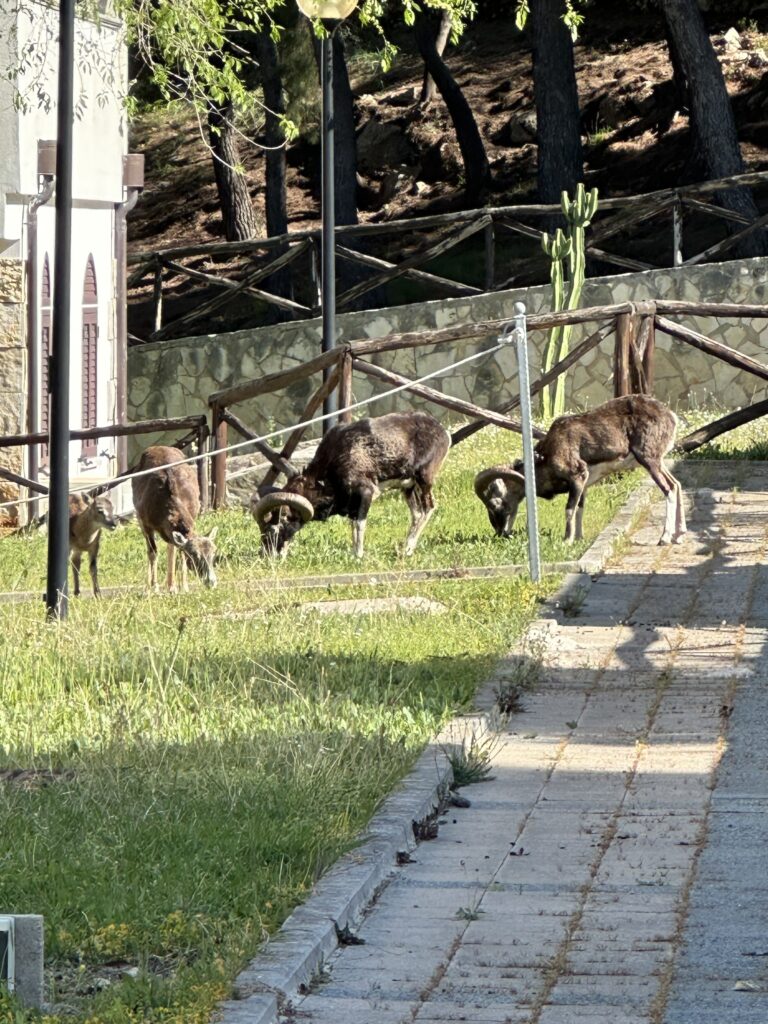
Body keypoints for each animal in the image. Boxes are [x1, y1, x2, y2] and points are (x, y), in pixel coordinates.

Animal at [131, 445, 218, 592]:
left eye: (213, 553)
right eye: (194, 555)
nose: (211, 581)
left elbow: (179, 551)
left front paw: (183, 587)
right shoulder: (145, 521)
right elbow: (153, 552)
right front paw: (155, 587)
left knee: (171, 546)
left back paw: (171, 586)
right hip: (138, 517)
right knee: (151, 550)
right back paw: (148, 587)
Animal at [250, 412, 451, 559]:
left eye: (273, 530)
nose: (267, 556)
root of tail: (443, 432)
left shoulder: (366, 492)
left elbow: (359, 524)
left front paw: (358, 556)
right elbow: (353, 525)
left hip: (424, 479)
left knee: (428, 508)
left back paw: (407, 550)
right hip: (407, 487)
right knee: (417, 513)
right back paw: (404, 548)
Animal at [474, 395, 686, 546]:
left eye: (494, 504)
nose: (501, 533)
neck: (548, 454)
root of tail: (671, 417)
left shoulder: (577, 476)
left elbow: (569, 509)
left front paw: (566, 541)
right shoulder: (583, 484)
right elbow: (580, 509)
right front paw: (578, 539)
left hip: (649, 461)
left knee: (669, 489)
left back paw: (664, 538)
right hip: (658, 463)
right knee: (676, 484)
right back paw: (679, 535)